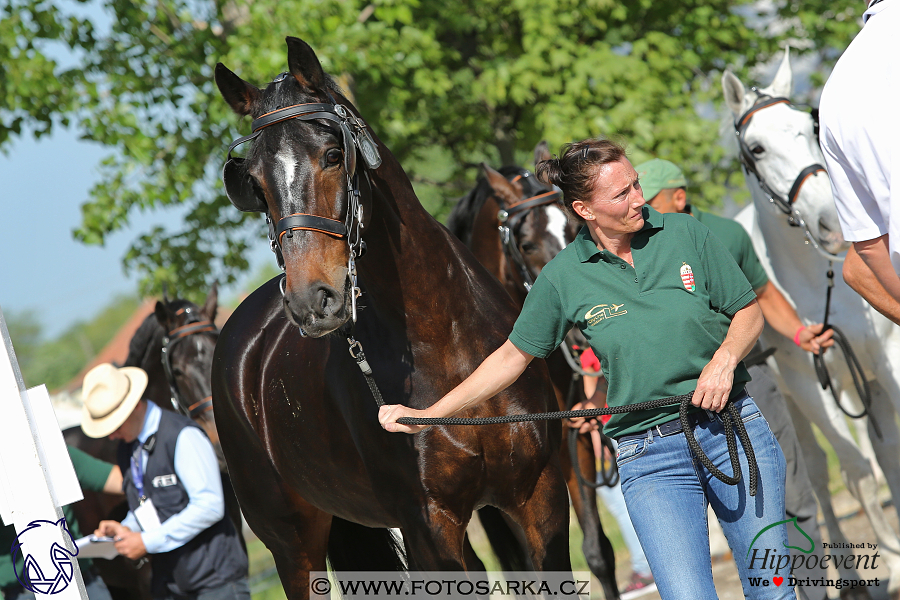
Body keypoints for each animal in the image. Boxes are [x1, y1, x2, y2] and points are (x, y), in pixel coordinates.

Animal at [211, 36, 568, 596]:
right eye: (257, 185)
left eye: (333, 155)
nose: (312, 300)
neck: (444, 333)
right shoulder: (429, 527)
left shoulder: (540, 495)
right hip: (294, 546)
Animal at [720, 50, 900, 596]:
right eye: (756, 148)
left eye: (807, 126)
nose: (834, 223)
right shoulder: (811, 383)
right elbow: (857, 473)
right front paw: (888, 563)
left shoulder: (882, 358)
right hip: (794, 401)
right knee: (818, 478)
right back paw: (845, 575)